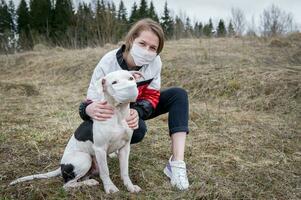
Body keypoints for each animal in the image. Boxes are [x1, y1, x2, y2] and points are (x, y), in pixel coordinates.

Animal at [9, 70, 144, 194]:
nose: (131, 89)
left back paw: (89, 181)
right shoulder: (100, 149)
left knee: (81, 178)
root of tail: (61, 165)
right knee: (67, 184)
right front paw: (110, 188)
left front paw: (130, 186)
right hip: (84, 158)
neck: (118, 114)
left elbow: (124, 171)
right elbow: (105, 171)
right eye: (114, 82)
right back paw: (88, 183)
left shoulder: (125, 148)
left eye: (131, 78)